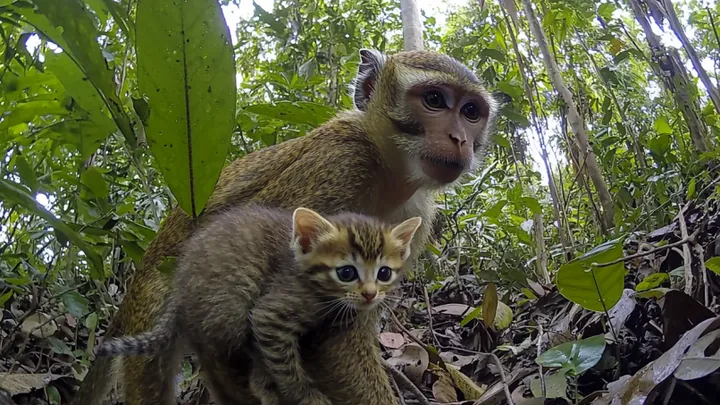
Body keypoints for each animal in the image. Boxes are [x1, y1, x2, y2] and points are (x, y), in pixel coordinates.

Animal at [94, 204, 422, 405]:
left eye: (384, 273)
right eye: (346, 273)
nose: (369, 294)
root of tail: (179, 287)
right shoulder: (271, 313)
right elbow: (285, 364)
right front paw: (306, 395)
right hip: (231, 299)